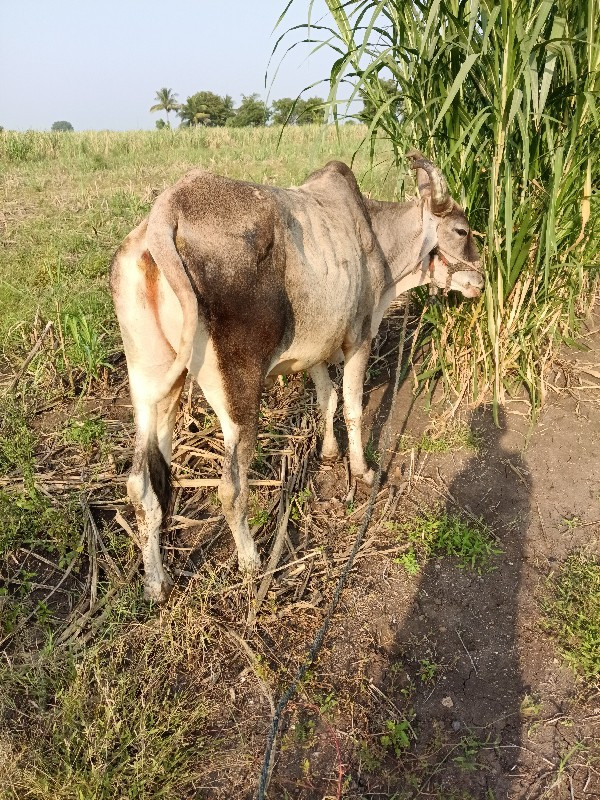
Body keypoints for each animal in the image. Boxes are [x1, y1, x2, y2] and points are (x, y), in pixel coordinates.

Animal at [109, 150, 482, 600]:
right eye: (461, 230)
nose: (480, 279)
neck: (377, 239)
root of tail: (166, 211)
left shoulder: (317, 348)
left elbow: (328, 398)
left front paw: (329, 452)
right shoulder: (359, 337)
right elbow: (353, 407)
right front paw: (362, 470)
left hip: (151, 384)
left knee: (140, 486)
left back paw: (156, 581)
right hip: (238, 392)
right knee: (231, 488)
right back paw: (252, 563)